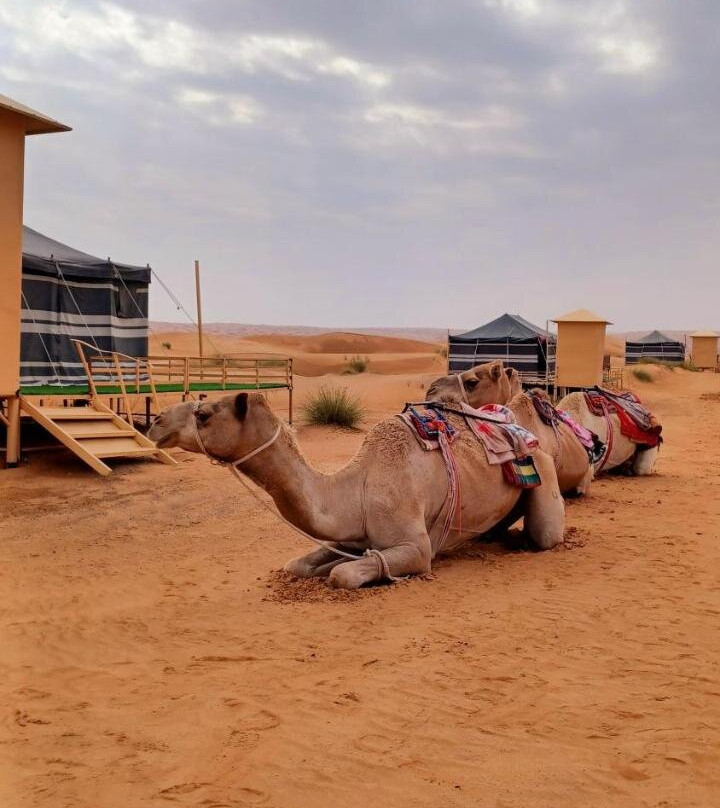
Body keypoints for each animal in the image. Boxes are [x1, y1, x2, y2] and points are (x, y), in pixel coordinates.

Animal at [148, 392, 565, 589]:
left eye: (203, 414)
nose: (155, 422)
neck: (357, 489)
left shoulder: (417, 548)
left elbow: (343, 575)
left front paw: (341, 571)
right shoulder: (347, 534)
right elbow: (300, 565)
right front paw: (324, 565)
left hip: (544, 470)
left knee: (545, 534)